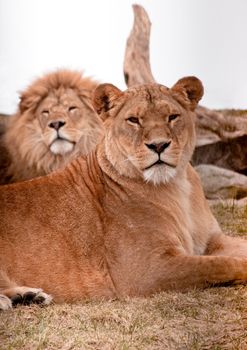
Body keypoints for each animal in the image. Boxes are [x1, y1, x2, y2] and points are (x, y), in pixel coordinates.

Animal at [0, 76, 247, 308]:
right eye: (134, 120)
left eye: (172, 117)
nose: (159, 145)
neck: (176, 186)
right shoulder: (148, 269)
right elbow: (220, 264)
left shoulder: (212, 241)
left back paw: (29, 296)